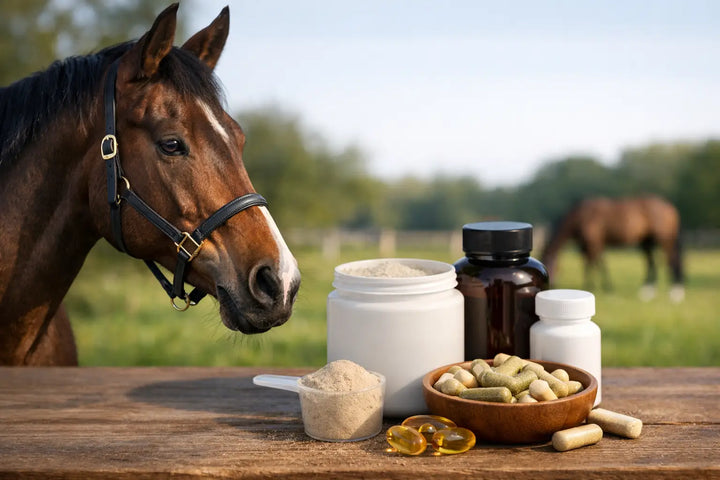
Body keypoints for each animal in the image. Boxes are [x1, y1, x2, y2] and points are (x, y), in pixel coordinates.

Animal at [540, 195, 684, 302]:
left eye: (548, 264)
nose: (552, 286)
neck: (581, 216)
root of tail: (669, 207)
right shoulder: (592, 245)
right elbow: (599, 265)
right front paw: (606, 288)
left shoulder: (593, 244)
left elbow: (591, 265)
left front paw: (590, 287)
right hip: (646, 242)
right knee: (651, 263)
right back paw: (647, 292)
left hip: (664, 239)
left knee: (672, 260)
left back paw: (675, 293)